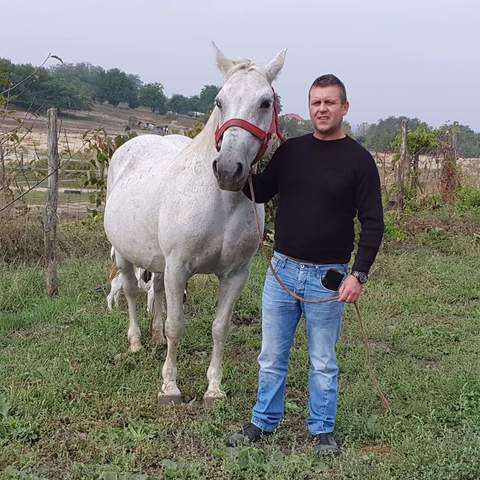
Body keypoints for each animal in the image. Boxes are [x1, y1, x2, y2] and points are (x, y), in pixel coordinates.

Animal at [104, 46, 284, 404]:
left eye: (265, 102)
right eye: (219, 101)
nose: (228, 169)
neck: (220, 203)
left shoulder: (235, 275)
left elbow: (220, 327)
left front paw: (214, 389)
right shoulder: (179, 268)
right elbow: (177, 326)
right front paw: (170, 386)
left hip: (157, 261)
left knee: (156, 290)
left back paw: (155, 336)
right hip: (124, 254)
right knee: (131, 292)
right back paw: (136, 341)